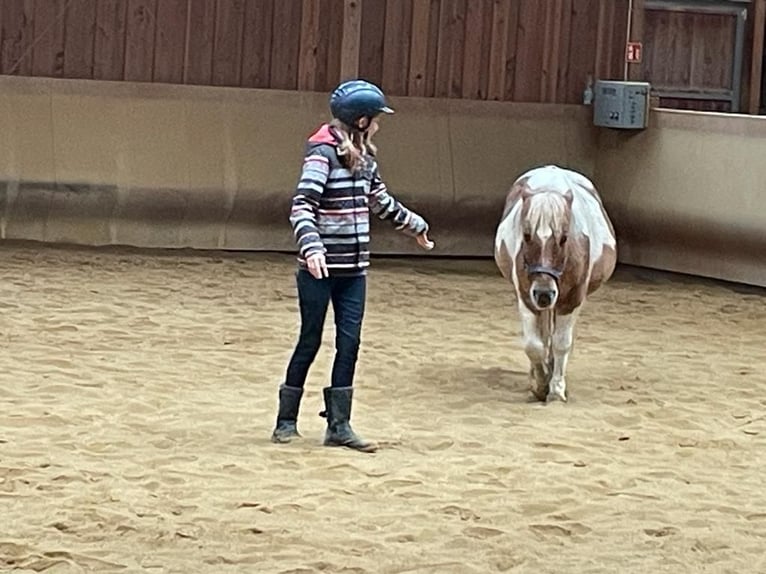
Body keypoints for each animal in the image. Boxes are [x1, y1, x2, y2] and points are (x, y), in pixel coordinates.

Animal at [496, 164, 620, 402]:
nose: (544, 293)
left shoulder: (572, 300)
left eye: (563, 238)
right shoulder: (526, 296)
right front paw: (540, 383)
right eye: (526, 235)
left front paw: (556, 389)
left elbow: (562, 343)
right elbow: (533, 345)